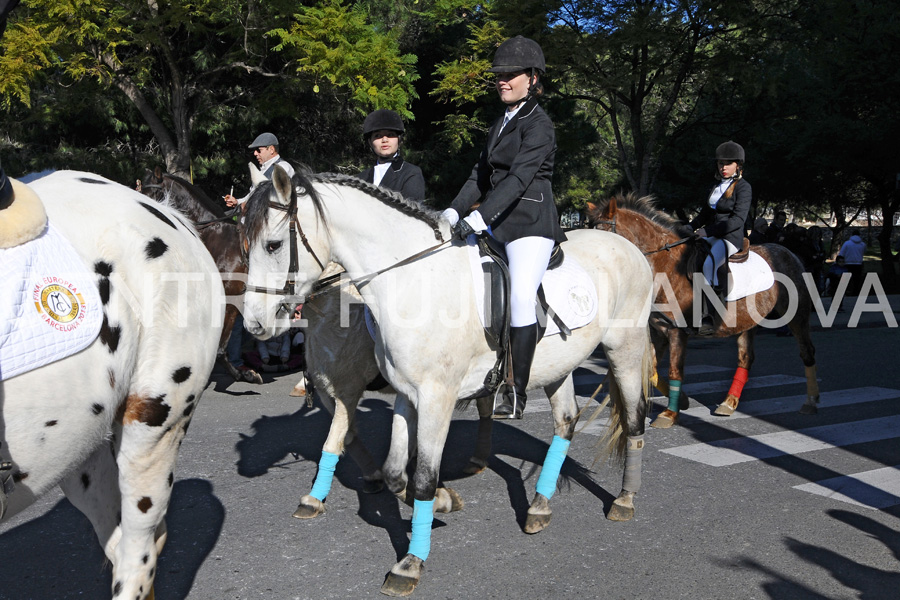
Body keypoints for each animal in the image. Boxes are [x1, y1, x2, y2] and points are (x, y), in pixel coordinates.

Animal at [239, 163, 652, 596]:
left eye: (272, 245)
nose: (255, 325)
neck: (413, 281)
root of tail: (626, 244)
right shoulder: (405, 394)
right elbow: (393, 471)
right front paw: (442, 500)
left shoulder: (435, 398)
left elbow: (418, 476)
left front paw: (410, 562)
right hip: (559, 364)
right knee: (566, 421)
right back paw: (539, 506)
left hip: (625, 350)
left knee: (635, 418)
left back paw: (624, 500)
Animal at [588, 192, 820, 426]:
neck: (665, 266)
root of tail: (788, 253)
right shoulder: (658, 331)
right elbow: (650, 369)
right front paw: (681, 401)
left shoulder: (677, 332)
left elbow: (675, 370)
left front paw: (669, 414)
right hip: (747, 322)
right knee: (746, 358)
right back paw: (729, 403)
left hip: (797, 316)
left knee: (807, 351)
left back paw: (810, 401)